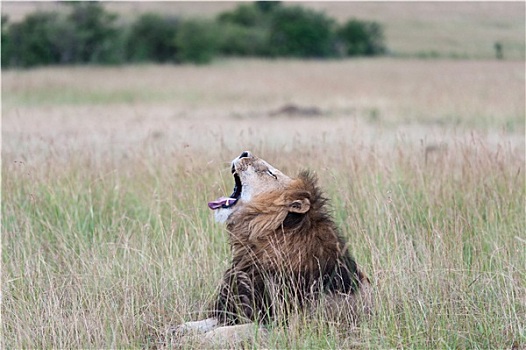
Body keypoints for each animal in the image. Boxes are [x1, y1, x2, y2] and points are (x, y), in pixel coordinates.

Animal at [170, 152, 372, 346]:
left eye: (271, 174)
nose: (244, 152)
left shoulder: (285, 326)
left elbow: (230, 331)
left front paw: (192, 340)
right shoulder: (240, 305)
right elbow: (207, 322)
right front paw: (178, 329)